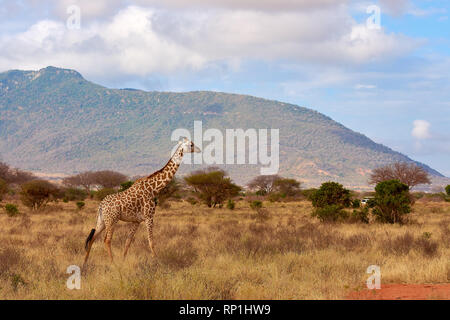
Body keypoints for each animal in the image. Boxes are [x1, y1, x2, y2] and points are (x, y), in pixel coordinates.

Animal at [82, 136, 200, 268]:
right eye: (191, 144)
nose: (199, 150)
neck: (154, 189)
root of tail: (101, 205)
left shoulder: (136, 221)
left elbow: (128, 242)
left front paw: (123, 261)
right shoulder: (149, 217)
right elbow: (151, 241)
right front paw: (157, 262)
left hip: (102, 221)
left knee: (92, 238)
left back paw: (84, 263)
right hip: (112, 220)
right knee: (106, 240)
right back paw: (112, 263)